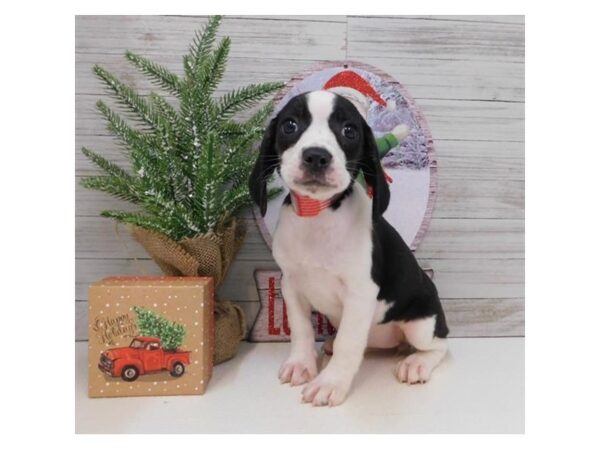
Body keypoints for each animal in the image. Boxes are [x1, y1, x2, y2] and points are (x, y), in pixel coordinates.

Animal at [246, 89, 448, 406]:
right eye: (290, 125)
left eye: (349, 131)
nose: (316, 156)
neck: (320, 214)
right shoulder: (291, 285)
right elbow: (302, 330)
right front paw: (302, 364)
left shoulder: (360, 294)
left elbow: (349, 343)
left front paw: (331, 382)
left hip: (421, 325)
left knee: (439, 345)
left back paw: (417, 362)